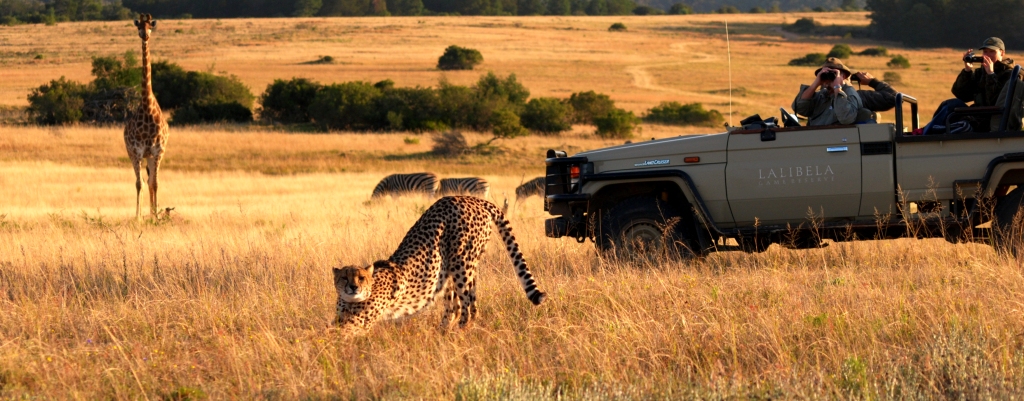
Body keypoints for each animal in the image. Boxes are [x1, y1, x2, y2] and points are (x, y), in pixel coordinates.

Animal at [332, 196, 546, 332]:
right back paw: (442, 332)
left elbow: (337, 335)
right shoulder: (340, 318)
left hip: (462, 264)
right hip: (450, 270)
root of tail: (472, 199)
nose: (353, 287)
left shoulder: (359, 323)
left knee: (469, 307)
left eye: (361, 278)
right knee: (456, 307)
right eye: (344, 278)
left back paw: (459, 332)